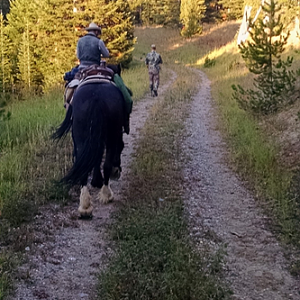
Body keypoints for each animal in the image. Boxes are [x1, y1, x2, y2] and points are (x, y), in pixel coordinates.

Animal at [52, 79, 125, 216]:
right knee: (106, 164)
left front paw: (96, 180)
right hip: (111, 136)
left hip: (81, 138)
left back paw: (85, 206)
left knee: (84, 169)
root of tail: (95, 97)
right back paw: (106, 195)